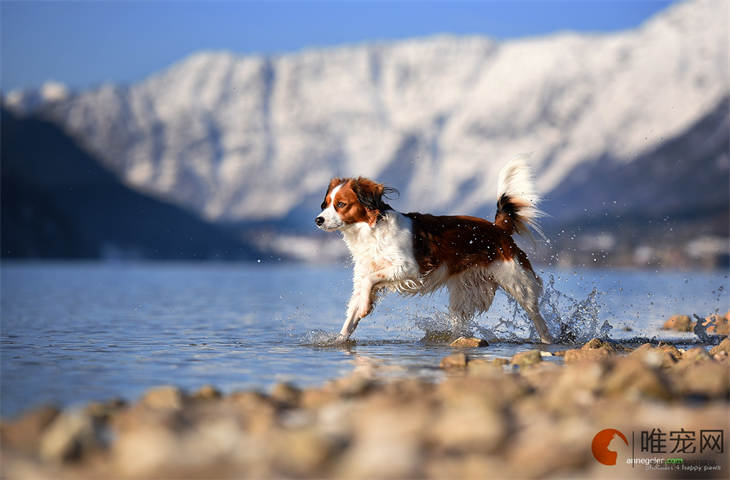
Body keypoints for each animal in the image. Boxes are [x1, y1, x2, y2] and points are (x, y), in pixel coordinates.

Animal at [314, 159, 552, 344]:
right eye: (325, 204)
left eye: (341, 204)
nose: (318, 220)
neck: (371, 232)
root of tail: (498, 228)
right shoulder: (364, 276)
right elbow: (352, 314)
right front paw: (340, 338)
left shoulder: (411, 268)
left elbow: (370, 280)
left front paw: (366, 306)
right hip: (463, 295)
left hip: (518, 282)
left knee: (536, 315)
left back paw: (547, 340)